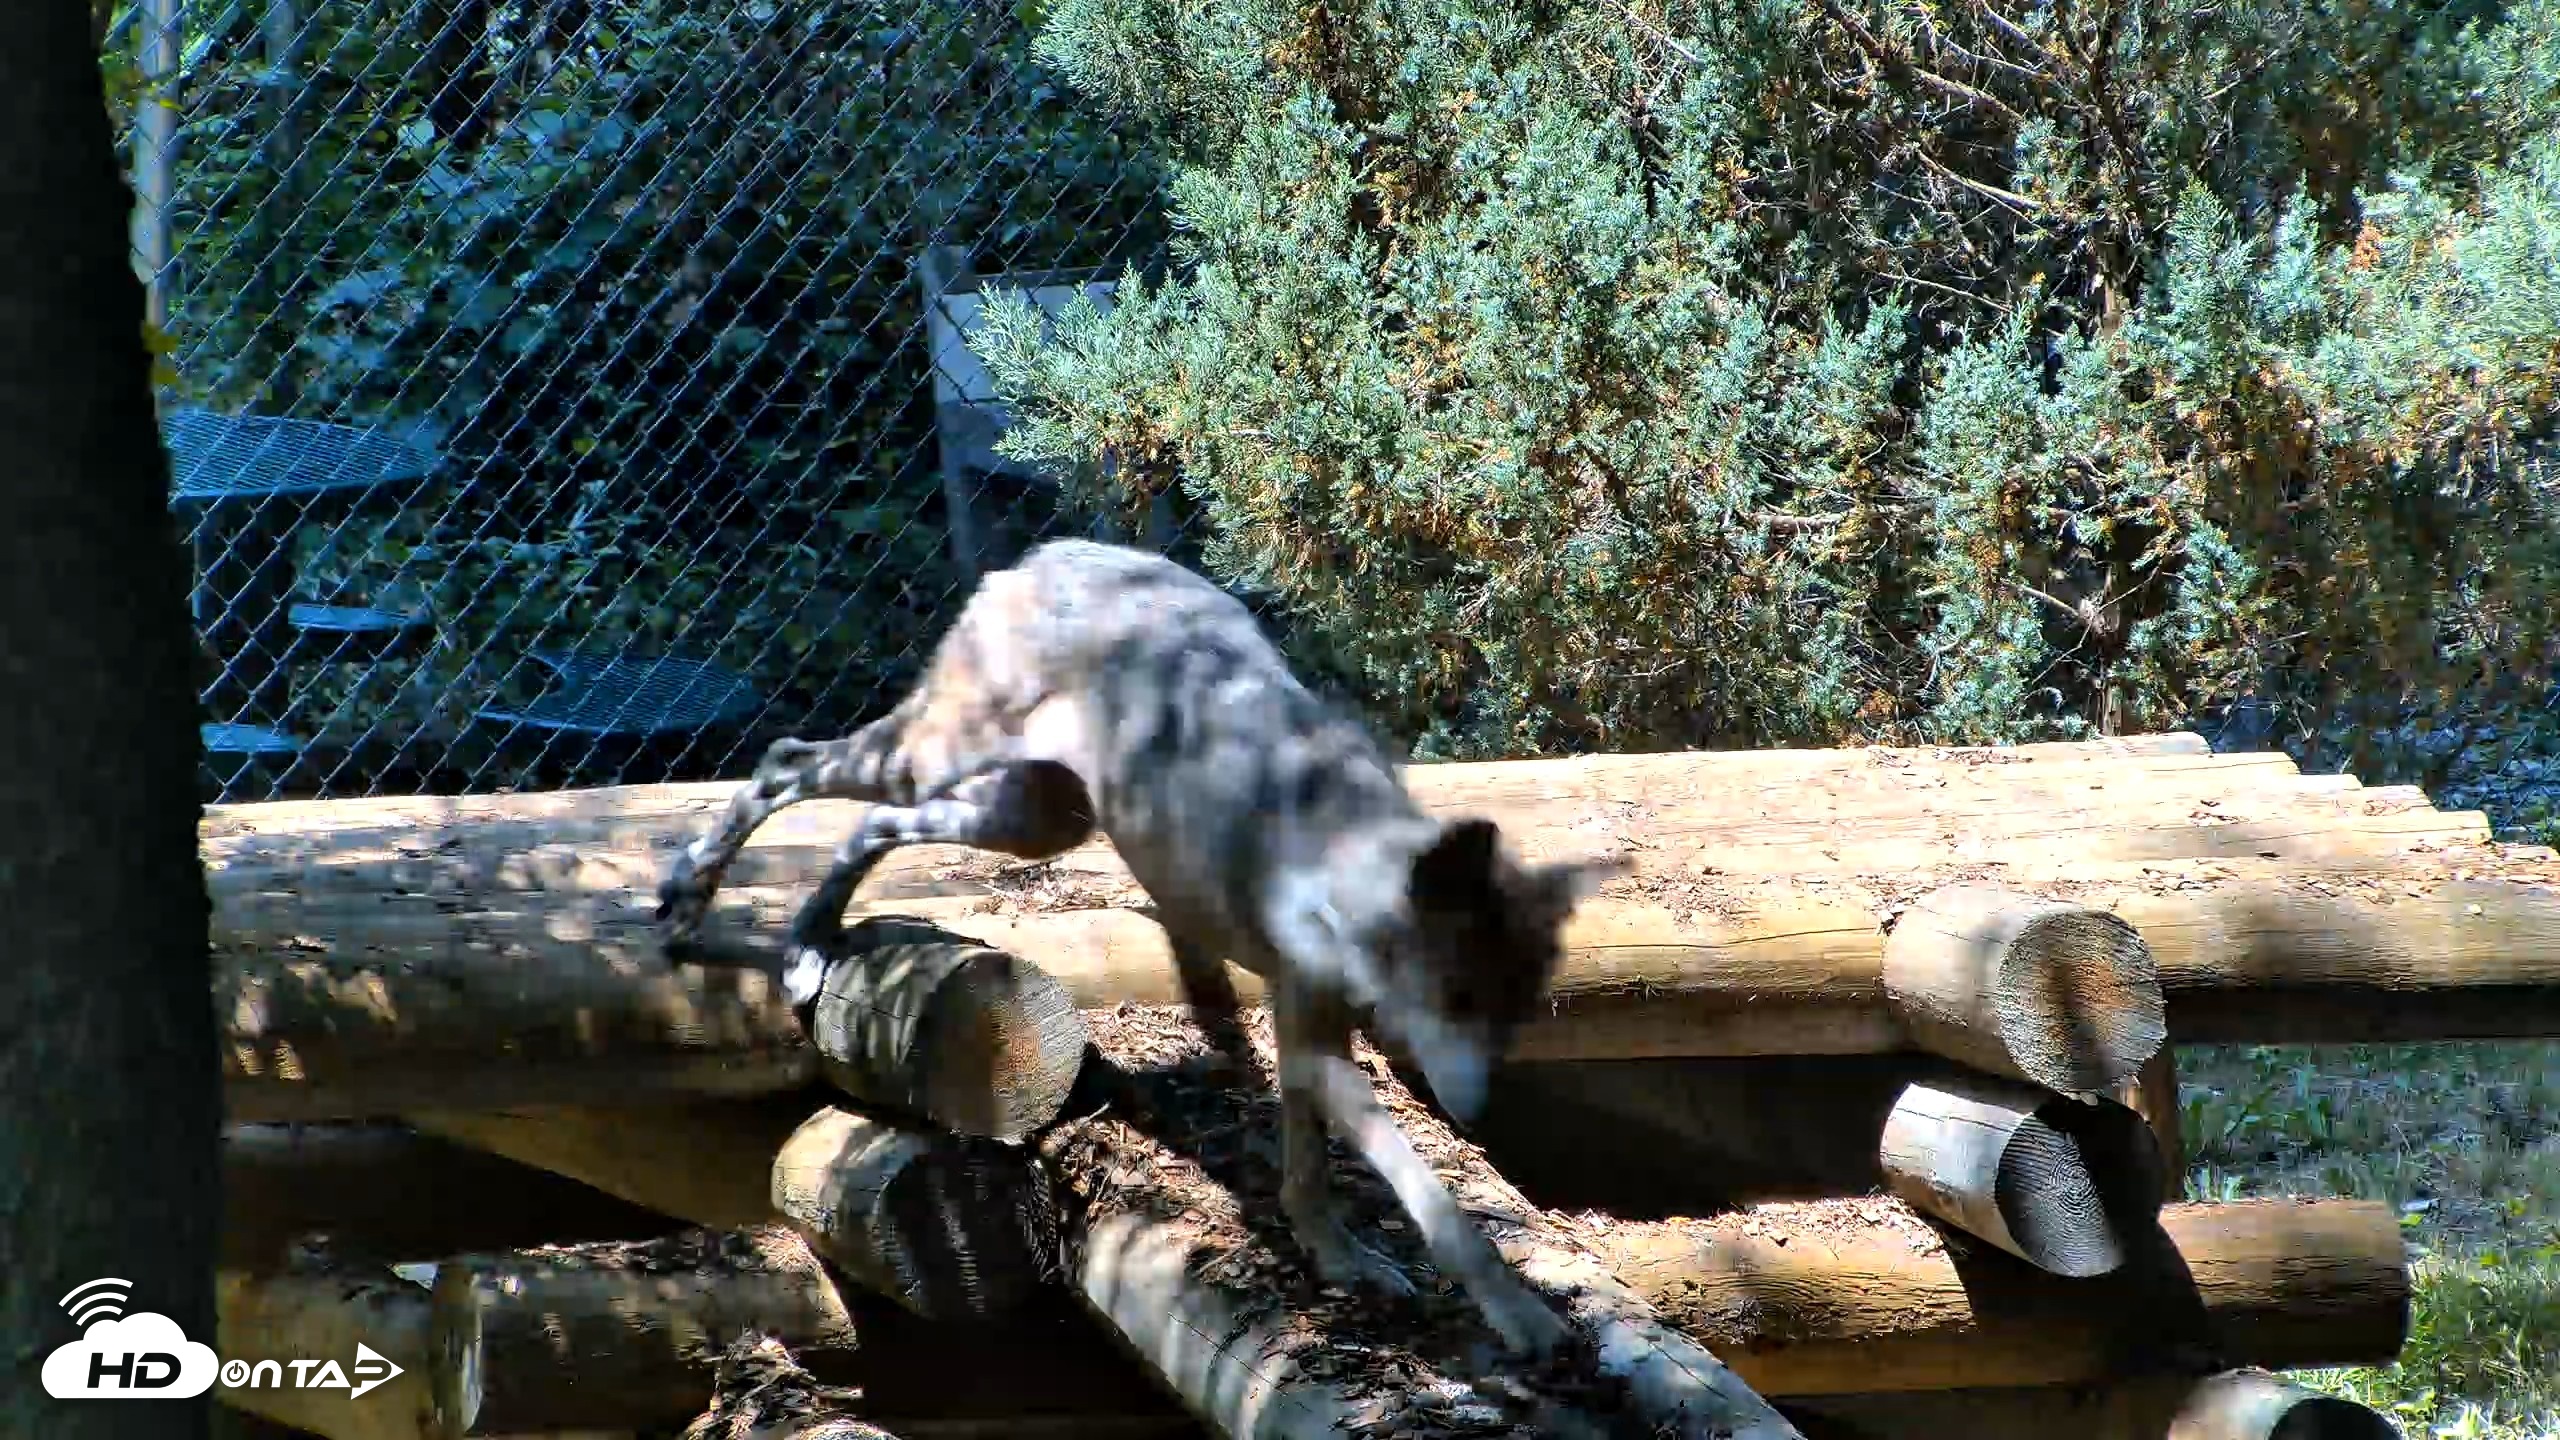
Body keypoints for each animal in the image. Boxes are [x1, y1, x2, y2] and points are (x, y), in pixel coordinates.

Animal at [654, 538, 1622, 1354]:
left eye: (1514, 1013)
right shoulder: (1317, 1037)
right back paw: (690, 901)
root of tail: (1049, 553)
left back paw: (809, 942)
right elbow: (1432, 1199)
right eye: (1458, 999)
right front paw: (1521, 1316)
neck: (1340, 862)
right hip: (938, 765)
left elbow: (1309, 1168)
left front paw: (1337, 1259)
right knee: (786, 760)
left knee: (869, 824)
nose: (1483, 1115)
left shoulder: (1305, 1030)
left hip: (1029, 819)